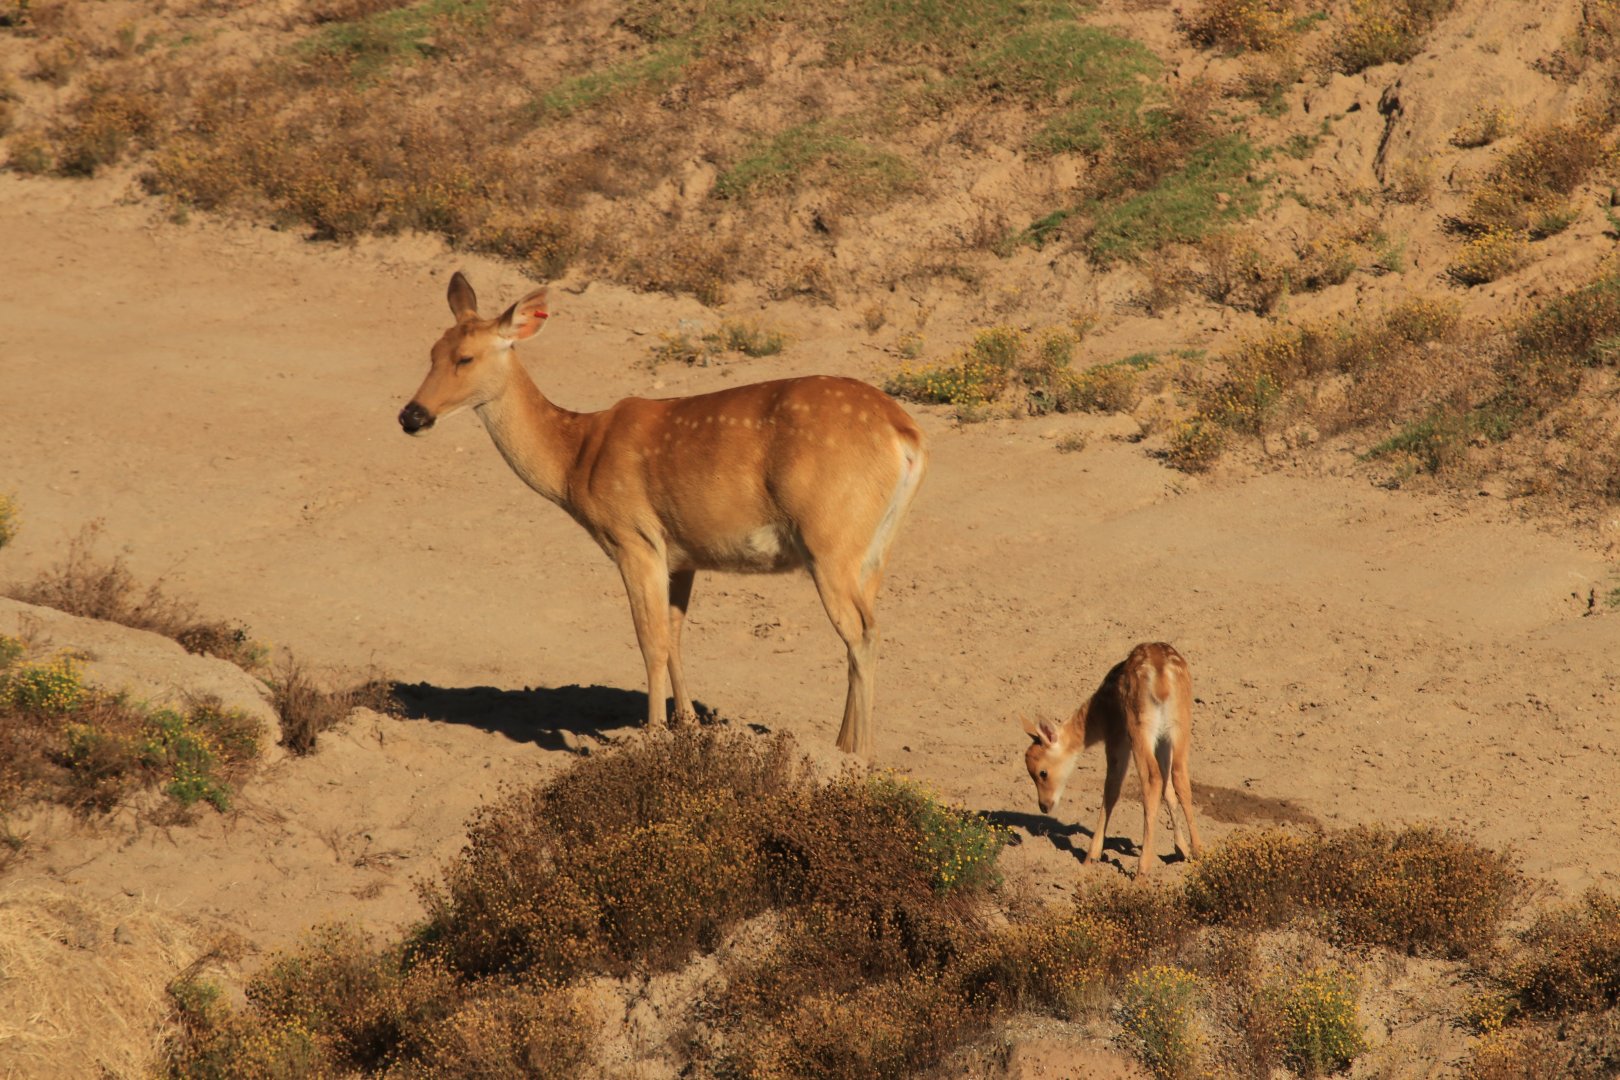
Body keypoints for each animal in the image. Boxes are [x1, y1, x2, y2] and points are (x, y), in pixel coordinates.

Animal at [397, 272, 927, 758]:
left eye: (466, 358)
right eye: (432, 351)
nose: (411, 415)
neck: (575, 459)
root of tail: (906, 435)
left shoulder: (633, 536)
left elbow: (648, 638)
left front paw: (651, 737)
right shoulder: (682, 553)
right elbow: (674, 635)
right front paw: (688, 726)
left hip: (829, 538)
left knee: (862, 632)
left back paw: (855, 754)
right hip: (875, 547)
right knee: (867, 627)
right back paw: (842, 746)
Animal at [1020, 642, 1204, 877]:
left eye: (1042, 773)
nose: (1044, 806)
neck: (1098, 717)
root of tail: (1162, 676)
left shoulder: (1116, 735)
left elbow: (1112, 790)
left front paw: (1091, 857)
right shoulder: (1162, 739)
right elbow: (1169, 790)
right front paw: (1181, 849)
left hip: (1139, 724)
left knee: (1151, 779)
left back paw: (1142, 869)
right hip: (1181, 720)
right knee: (1180, 776)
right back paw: (1199, 852)